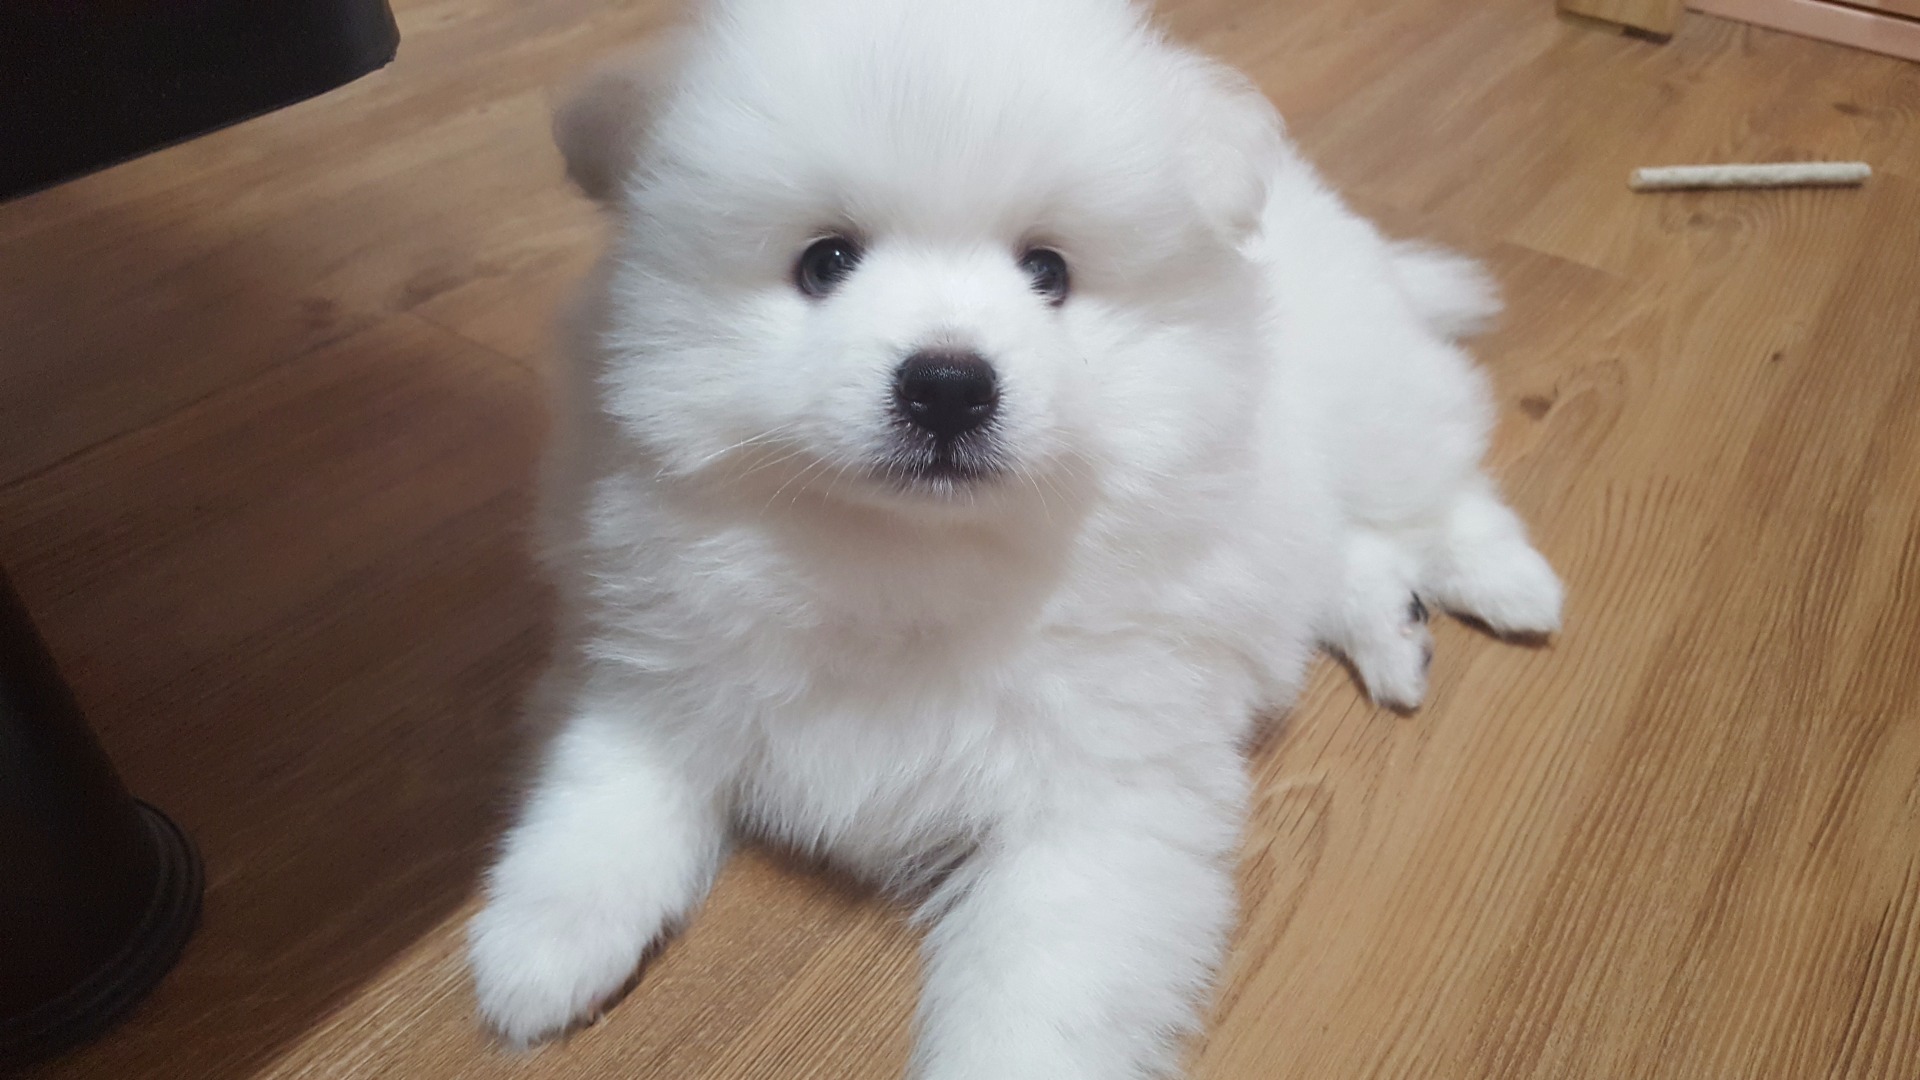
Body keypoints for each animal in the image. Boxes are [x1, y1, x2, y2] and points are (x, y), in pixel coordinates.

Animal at [467, 1, 1563, 1076]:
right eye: (825, 262)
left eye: (1048, 270)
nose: (948, 384)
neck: (908, 554)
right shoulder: (652, 657)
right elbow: (608, 786)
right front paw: (540, 945)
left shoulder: (1099, 798)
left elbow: (1036, 1001)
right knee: (1333, 552)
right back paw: (1394, 628)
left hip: (1373, 406)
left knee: (1435, 485)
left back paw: (1506, 583)